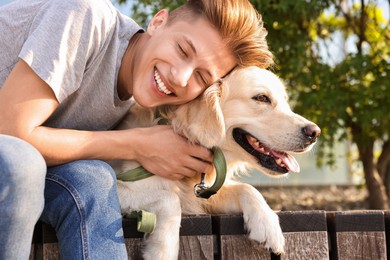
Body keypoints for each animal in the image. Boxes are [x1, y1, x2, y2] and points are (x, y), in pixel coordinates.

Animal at [109, 66, 320, 258]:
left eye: (285, 101)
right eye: (261, 98)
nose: (314, 132)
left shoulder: (203, 193)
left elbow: (247, 188)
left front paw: (267, 224)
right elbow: (170, 199)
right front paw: (161, 251)